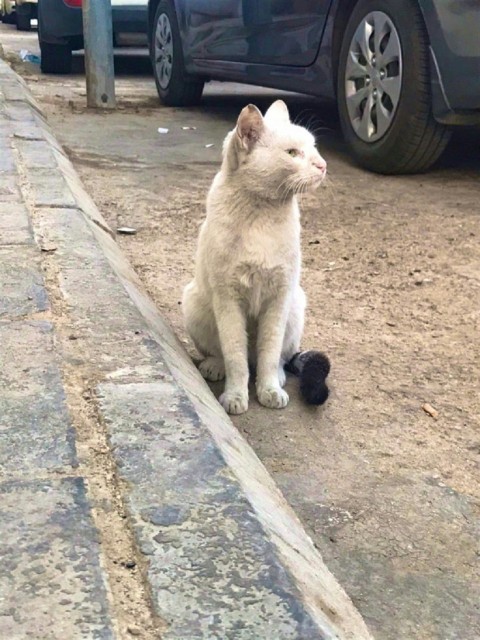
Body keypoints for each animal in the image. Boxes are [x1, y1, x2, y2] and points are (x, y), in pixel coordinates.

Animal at [184, 97, 330, 412]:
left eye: (314, 147)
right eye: (292, 153)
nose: (323, 165)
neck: (263, 216)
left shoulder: (279, 297)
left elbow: (269, 352)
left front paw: (269, 389)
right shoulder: (228, 299)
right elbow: (235, 355)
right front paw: (236, 395)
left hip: (296, 305)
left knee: (278, 357)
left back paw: (278, 377)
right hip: (195, 302)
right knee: (224, 353)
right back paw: (215, 366)